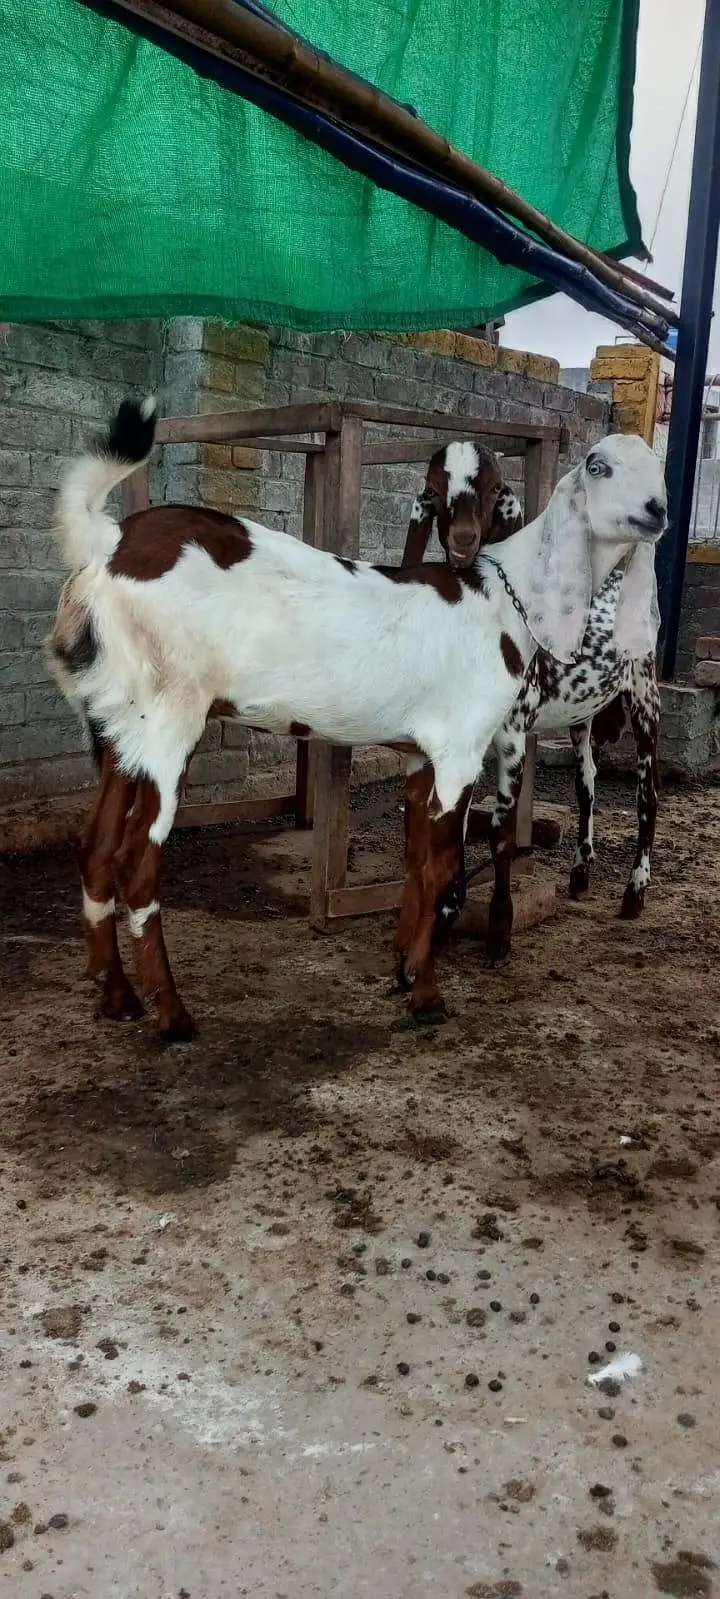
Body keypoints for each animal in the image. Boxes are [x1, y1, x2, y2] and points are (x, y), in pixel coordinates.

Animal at [400, 438, 665, 967]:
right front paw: (446, 917)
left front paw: (499, 934)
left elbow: (501, 834)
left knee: (647, 793)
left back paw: (635, 894)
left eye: (496, 488)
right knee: (587, 784)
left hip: (644, 691)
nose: (463, 540)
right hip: (583, 713)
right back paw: (581, 875)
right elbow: (457, 825)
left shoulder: (513, 732)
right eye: (433, 489)